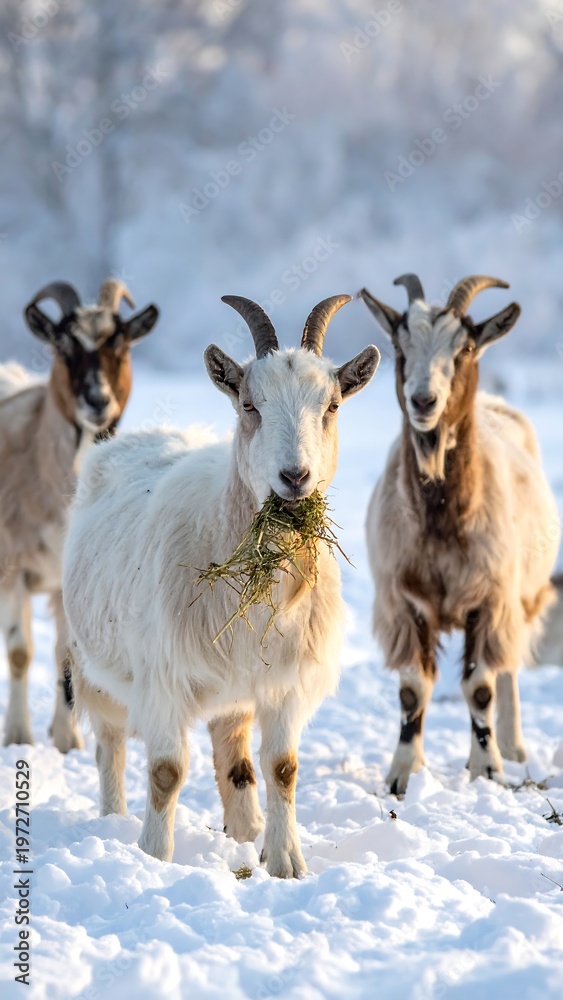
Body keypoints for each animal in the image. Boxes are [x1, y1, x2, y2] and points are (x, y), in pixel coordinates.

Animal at [1, 278, 159, 751]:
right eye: (63, 346)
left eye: (121, 344)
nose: (97, 400)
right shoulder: (14, 569)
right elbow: (20, 653)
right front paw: (18, 736)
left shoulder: (65, 584)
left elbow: (64, 655)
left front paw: (67, 738)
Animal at [62, 295, 380, 876]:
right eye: (249, 405)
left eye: (332, 406)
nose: (294, 478)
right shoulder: (163, 677)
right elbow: (166, 772)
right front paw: (154, 858)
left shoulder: (284, 681)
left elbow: (282, 768)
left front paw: (285, 862)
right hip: (91, 663)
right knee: (110, 741)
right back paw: (113, 822)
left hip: (235, 684)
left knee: (233, 750)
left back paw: (245, 829)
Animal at [360, 274, 559, 794]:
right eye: (399, 344)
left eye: (465, 347)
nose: (423, 401)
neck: (442, 520)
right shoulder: (403, 601)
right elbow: (413, 689)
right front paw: (402, 774)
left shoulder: (490, 598)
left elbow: (481, 686)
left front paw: (487, 769)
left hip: (522, 596)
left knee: (509, 668)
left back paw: (513, 747)